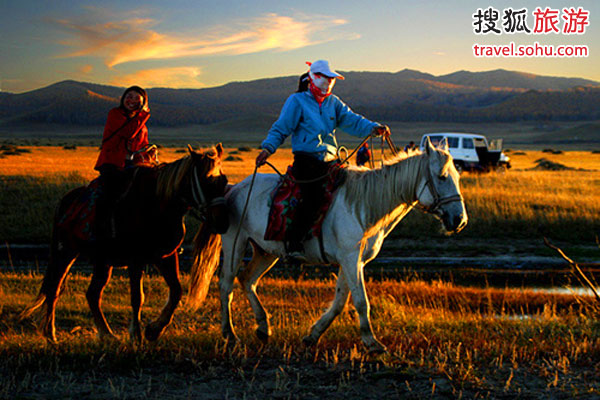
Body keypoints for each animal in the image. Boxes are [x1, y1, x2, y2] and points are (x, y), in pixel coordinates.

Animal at [19, 145, 229, 342]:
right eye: (207, 180)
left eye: (224, 181)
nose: (221, 221)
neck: (159, 204)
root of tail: (65, 201)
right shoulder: (136, 259)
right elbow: (137, 297)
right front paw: (137, 335)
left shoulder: (166, 256)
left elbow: (176, 291)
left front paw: (154, 330)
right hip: (65, 252)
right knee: (54, 289)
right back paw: (51, 334)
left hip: (102, 262)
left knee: (92, 294)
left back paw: (107, 334)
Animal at [190, 138, 466, 354]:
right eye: (442, 177)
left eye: (457, 176)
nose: (459, 220)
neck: (364, 205)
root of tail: (232, 189)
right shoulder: (350, 258)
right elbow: (361, 300)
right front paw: (373, 343)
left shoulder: (353, 260)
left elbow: (341, 301)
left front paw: (312, 336)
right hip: (235, 243)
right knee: (226, 283)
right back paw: (230, 335)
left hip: (266, 251)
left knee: (247, 279)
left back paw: (263, 328)